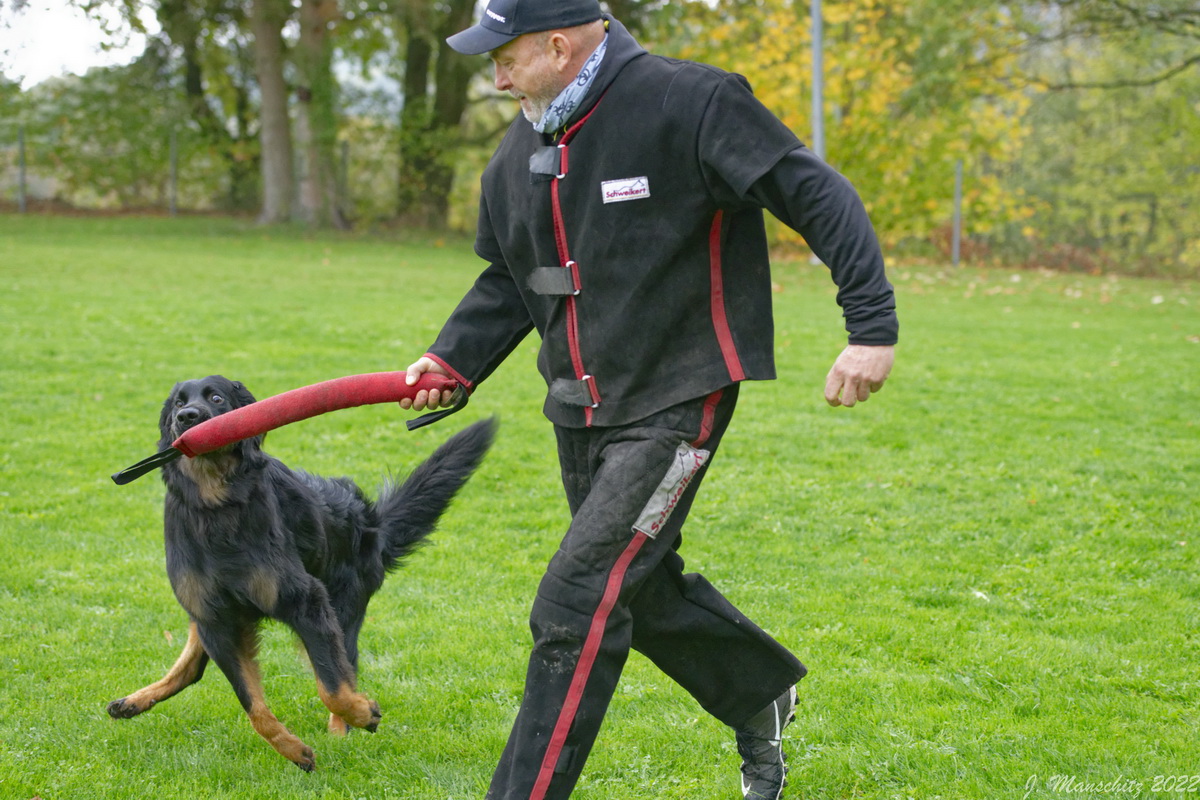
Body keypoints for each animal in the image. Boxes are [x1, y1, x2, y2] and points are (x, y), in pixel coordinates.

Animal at [105, 379, 494, 772]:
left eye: (216, 398)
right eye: (177, 404)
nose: (187, 417)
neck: (216, 502)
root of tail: (371, 520)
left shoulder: (307, 603)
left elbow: (332, 687)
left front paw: (360, 713)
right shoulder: (215, 618)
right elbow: (254, 707)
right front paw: (295, 751)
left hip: (344, 609)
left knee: (345, 666)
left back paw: (342, 728)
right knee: (194, 668)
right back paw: (135, 700)